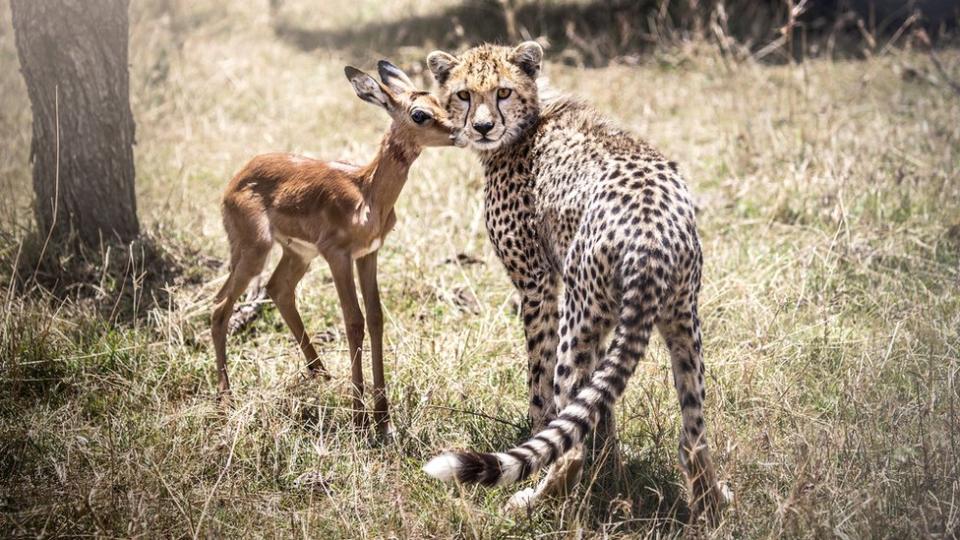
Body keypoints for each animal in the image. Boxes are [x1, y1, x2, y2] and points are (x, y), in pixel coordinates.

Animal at [424, 43, 732, 524]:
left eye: (503, 91)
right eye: (463, 94)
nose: (483, 127)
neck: (530, 120)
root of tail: (651, 233)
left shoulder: (538, 286)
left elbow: (543, 390)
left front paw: (549, 452)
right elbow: (599, 403)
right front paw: (613, 472)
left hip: (579, 314)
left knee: (568, 441)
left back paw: (533, 501)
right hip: (682, 322)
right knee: (693, 434)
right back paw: (711, 507)